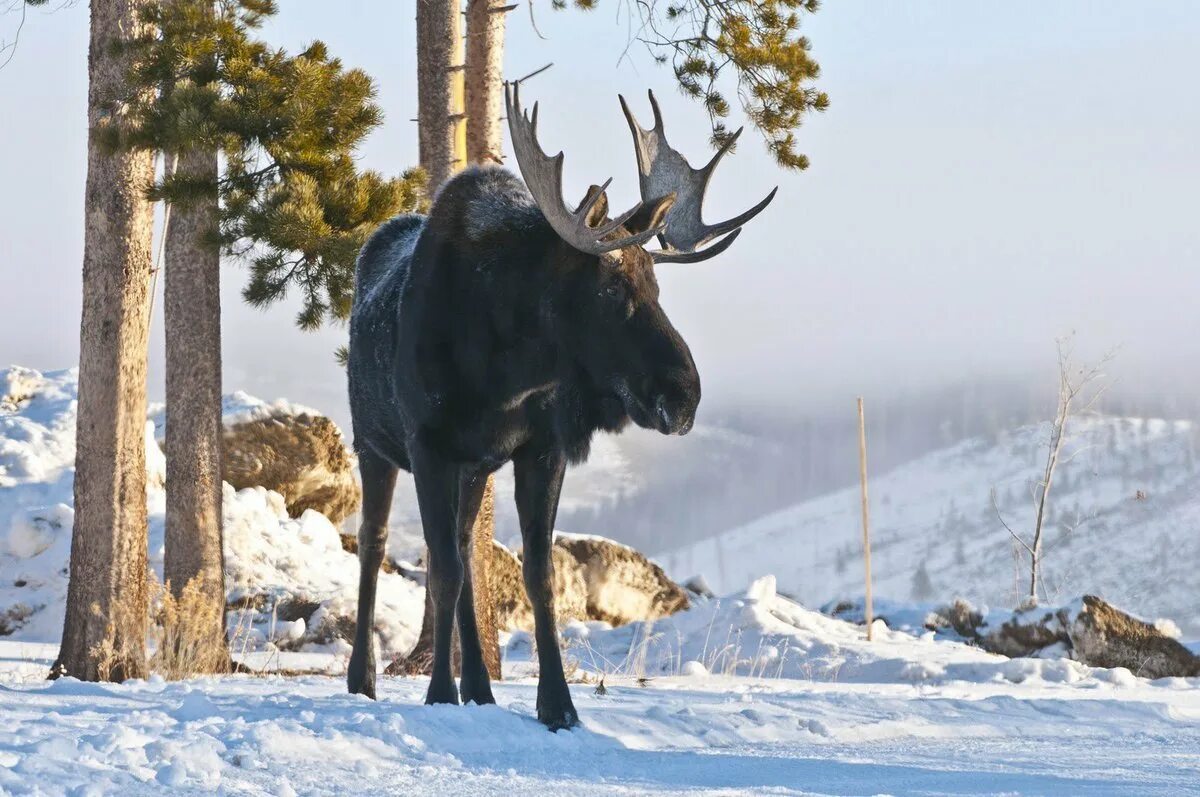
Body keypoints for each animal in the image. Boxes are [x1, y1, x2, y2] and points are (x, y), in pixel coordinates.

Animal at [348, 85, 777, 729]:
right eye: (612, 289)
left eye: (657, 286)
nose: (685, 395)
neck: (503, 370)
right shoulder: (428, 445)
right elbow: (441, 569)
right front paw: (439, 692)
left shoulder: (539, 450)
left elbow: (536, 574)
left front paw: (557, 704)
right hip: (372, 444)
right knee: (375, 545)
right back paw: (364, 678)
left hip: (475, 469)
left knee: (467, 553)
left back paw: (480, 686)